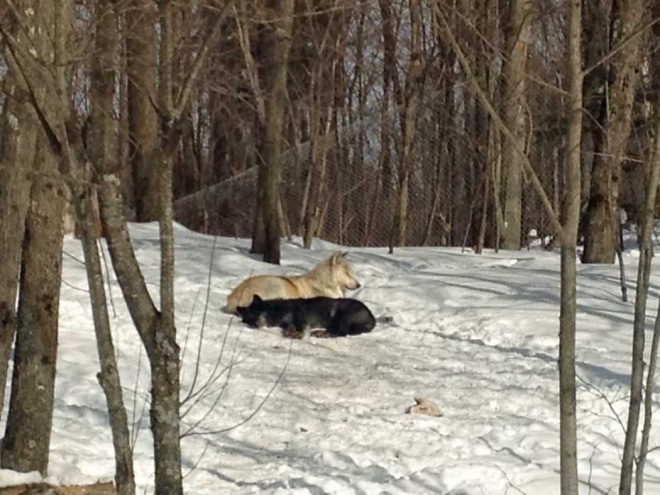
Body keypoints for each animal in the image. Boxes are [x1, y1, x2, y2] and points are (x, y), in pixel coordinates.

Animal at [237, 296, 392, 340]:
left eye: (251, 312)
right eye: (245, 319)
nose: (251, 325)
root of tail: (372, 318)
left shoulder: (300, 318)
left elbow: (298, 328)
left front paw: (297, 335)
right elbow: (289, 329)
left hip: (343, 315)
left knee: (341, 333)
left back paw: (320, 334)